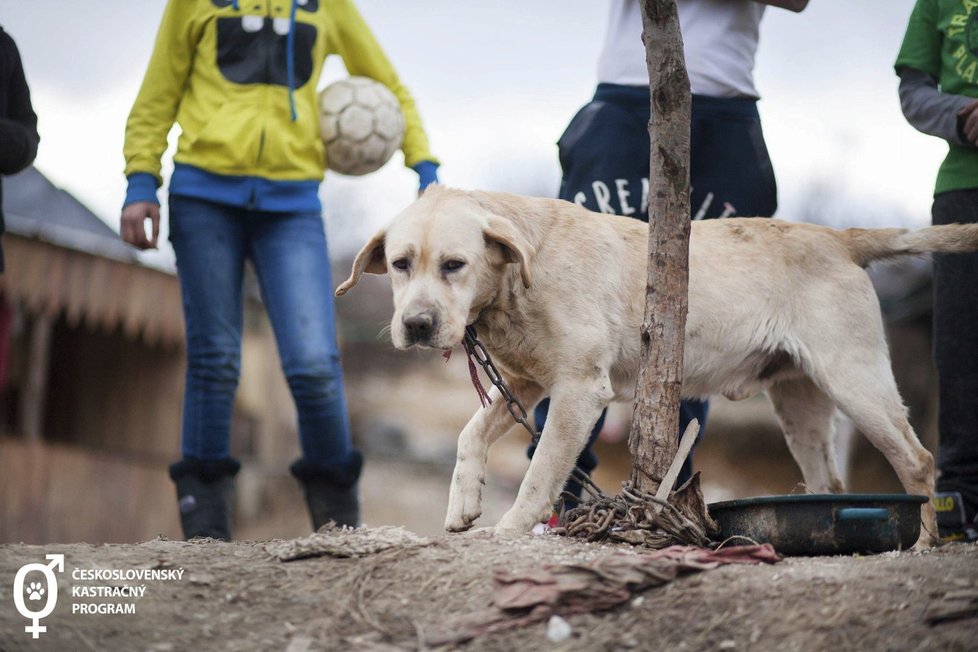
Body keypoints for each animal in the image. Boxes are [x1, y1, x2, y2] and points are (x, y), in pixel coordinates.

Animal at [338, 186, 976, 548]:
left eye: (454, 264)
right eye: (400, 264)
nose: (417, 325)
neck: (520, 274)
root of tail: (839, 237)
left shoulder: (577, 390)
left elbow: (541, 471)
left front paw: (513, 527)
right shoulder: (526, 380)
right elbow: (470, 432)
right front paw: (464, 502)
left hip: (855, 379)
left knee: (917, 461)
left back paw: (924, 543)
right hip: (801, 405)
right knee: (830, 485)